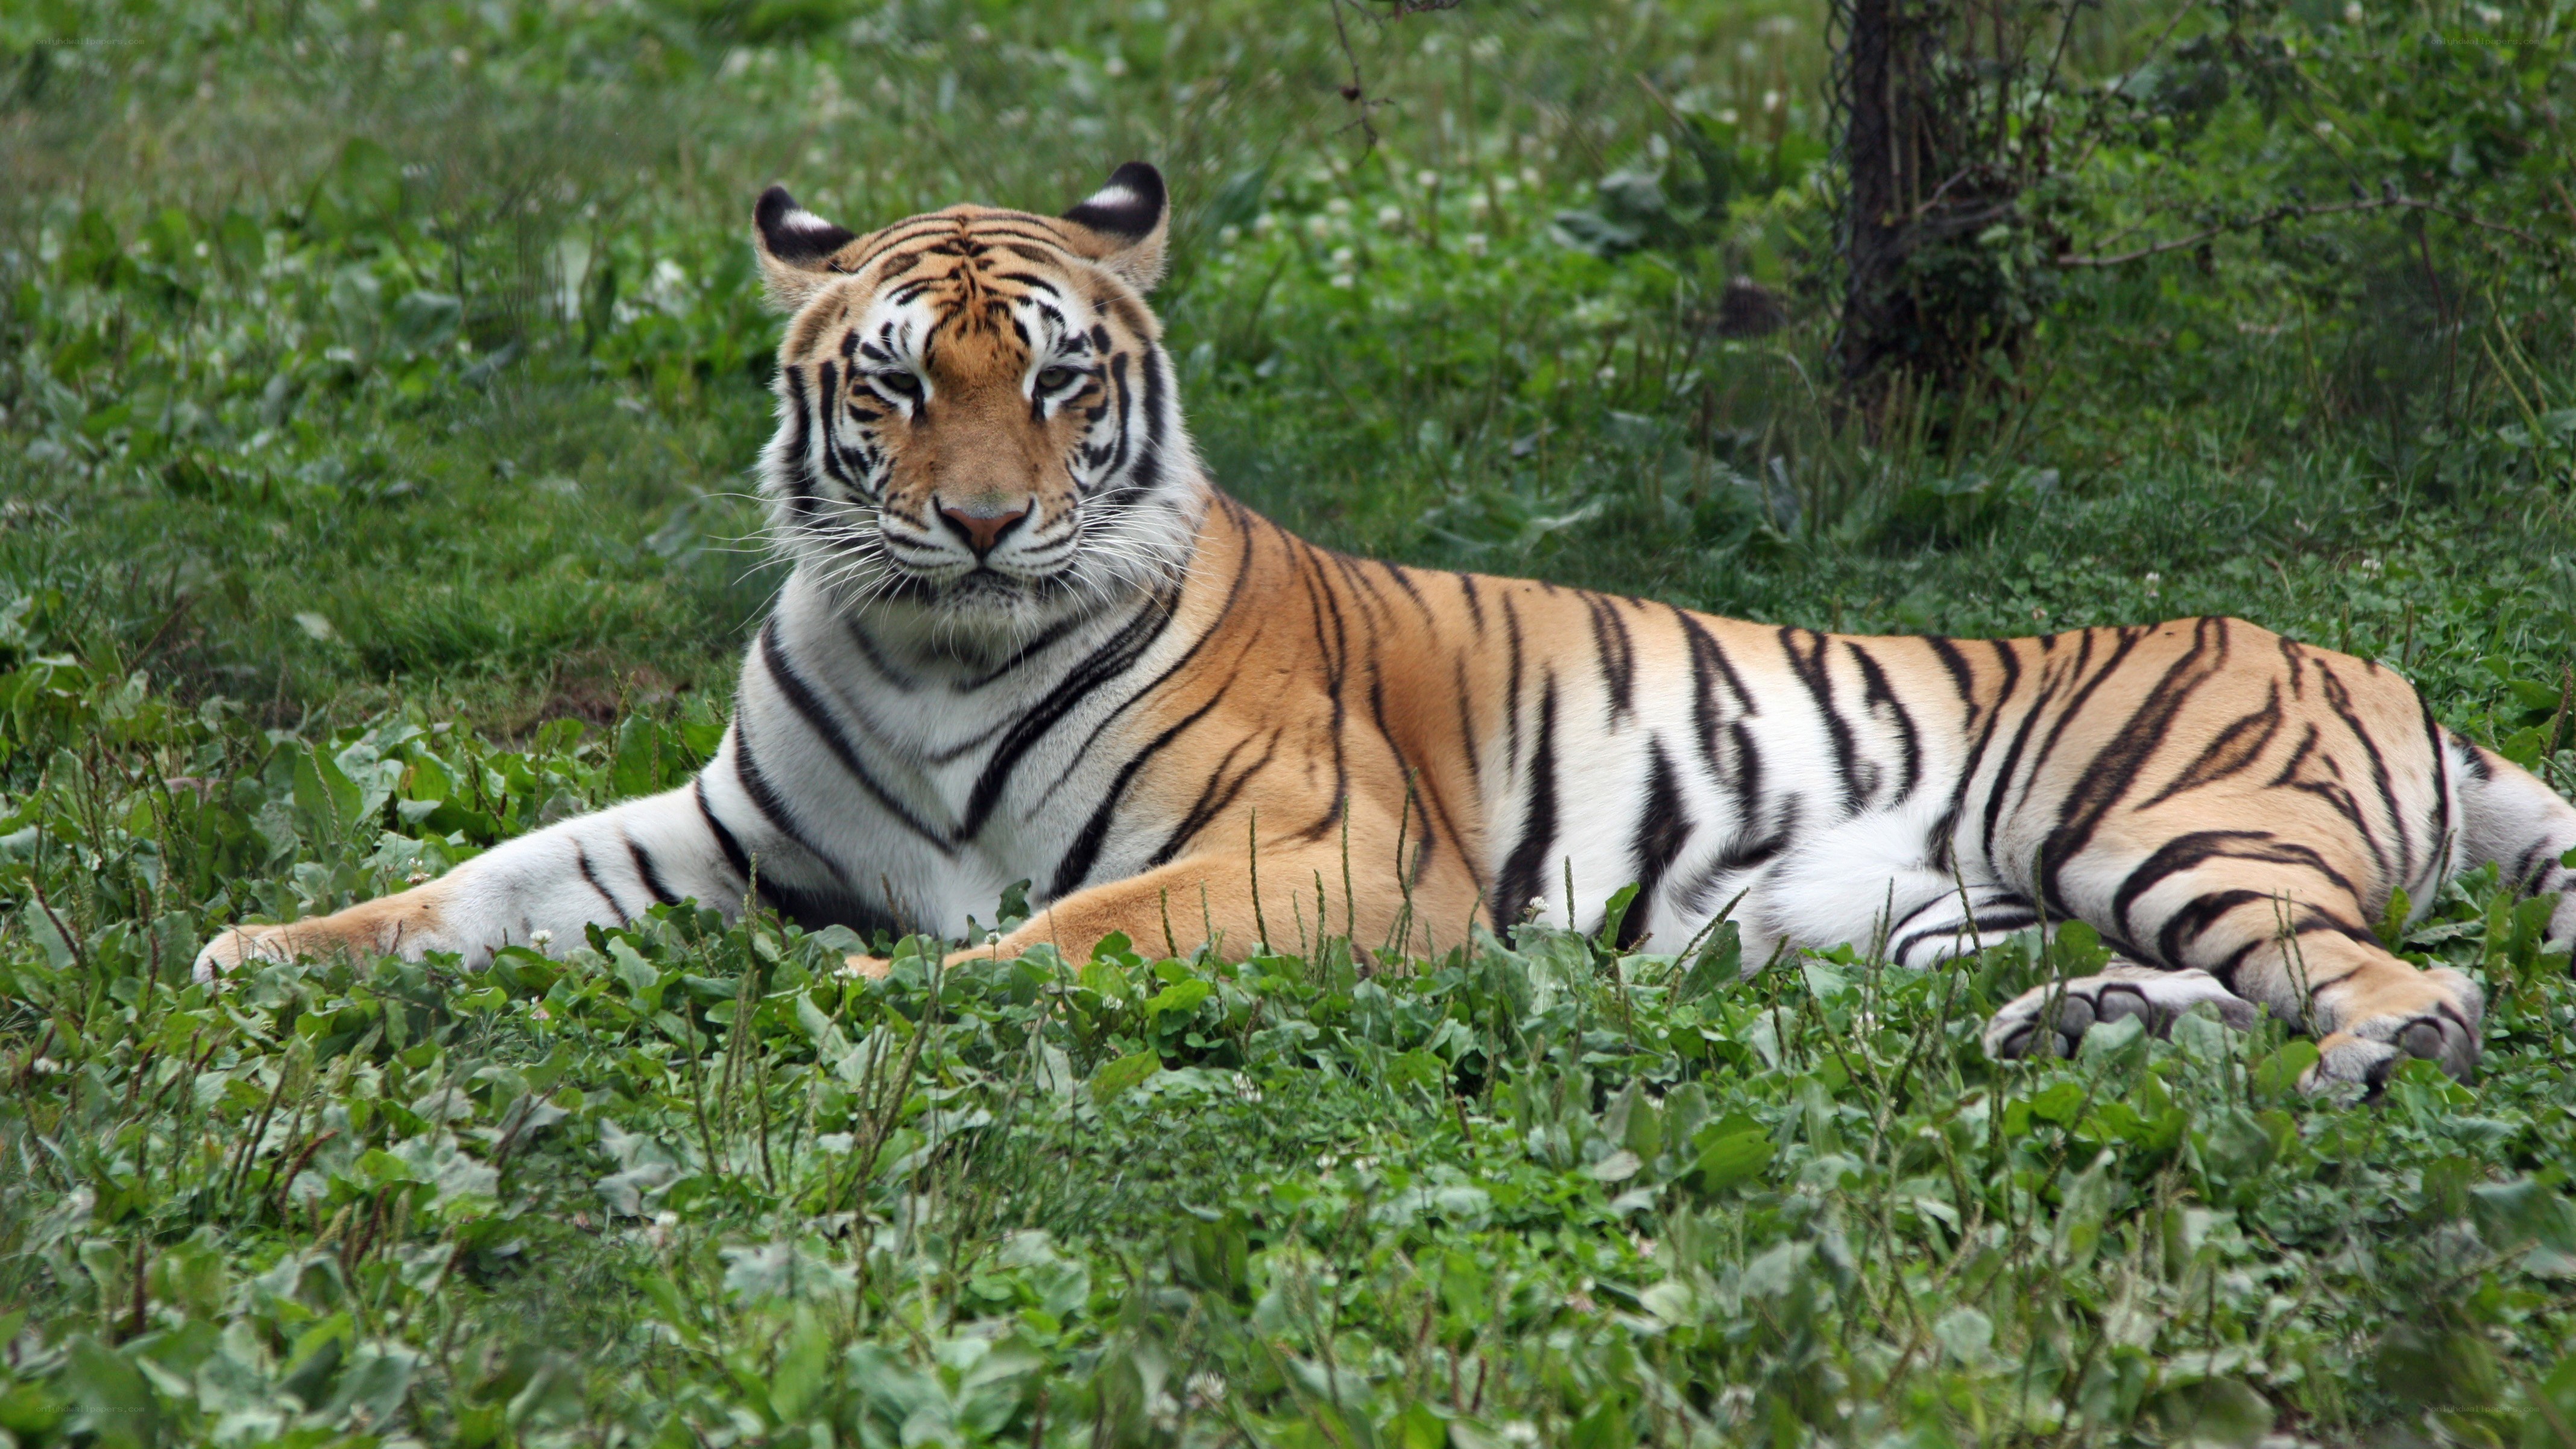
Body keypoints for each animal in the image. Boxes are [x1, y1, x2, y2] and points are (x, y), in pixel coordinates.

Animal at [195, 162, 2576, 1091]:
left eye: (1052, 379)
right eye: (889, 384)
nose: (979, 527)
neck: (930, 651)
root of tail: (2377, 665)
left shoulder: (1326, 855)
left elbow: (1059, 935)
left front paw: (897, 997)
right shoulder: (718, 832)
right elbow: (485, 881)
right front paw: (253, 950)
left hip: (2153, 816)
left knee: (2411, 982)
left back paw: (2361, 1053)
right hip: (1955, 914)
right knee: (2222, 984)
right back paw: (2068, 1032)